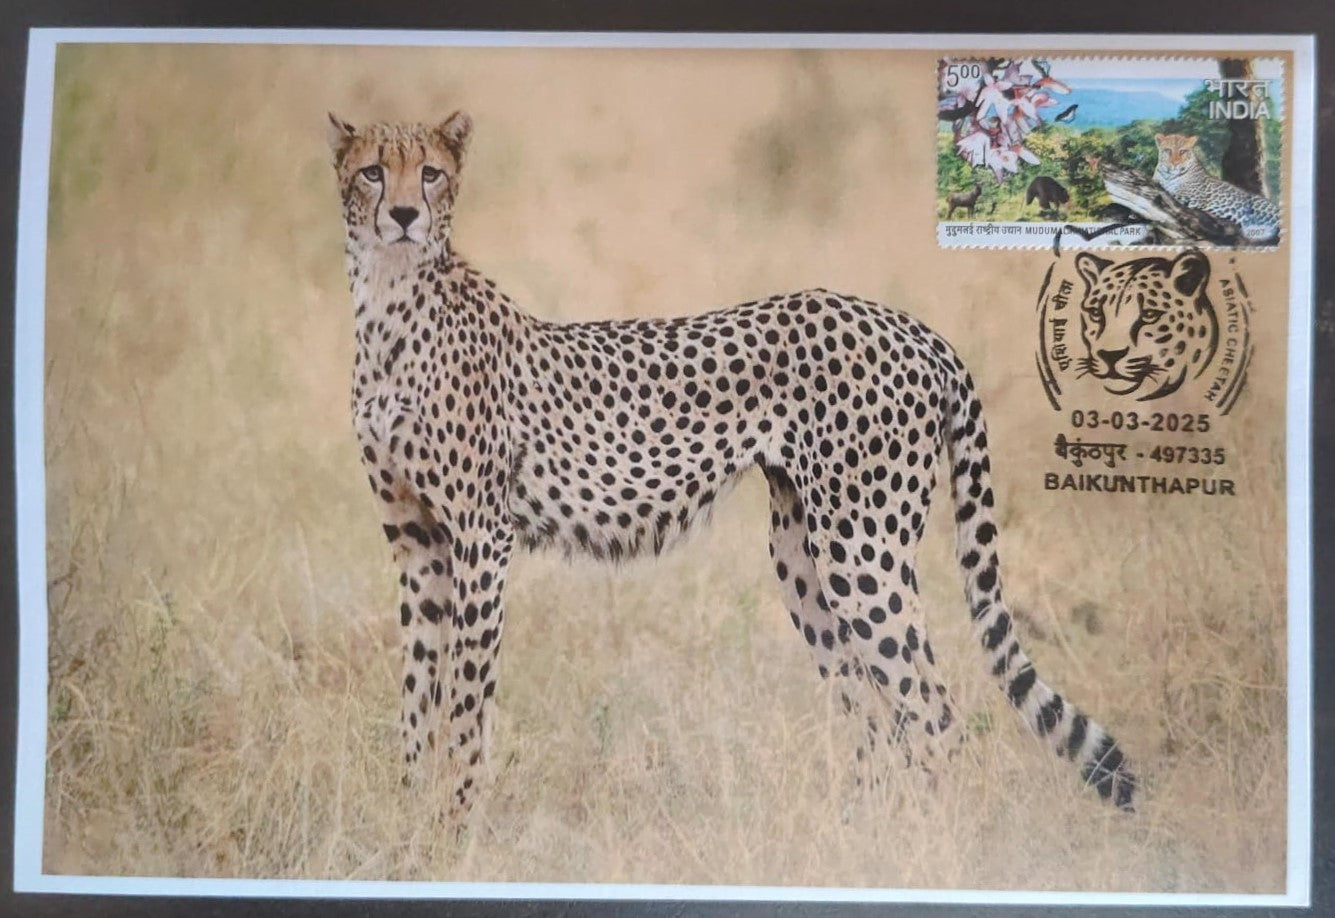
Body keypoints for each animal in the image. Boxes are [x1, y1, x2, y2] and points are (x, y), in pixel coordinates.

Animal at [326, 111, 1138, 823]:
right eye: (373, 171)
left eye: (430, 173)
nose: (403, 214)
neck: (392, 303)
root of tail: (912, 327)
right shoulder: (418, 545)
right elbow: (417, 690)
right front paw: (411, 812)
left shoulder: (480, 539)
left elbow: (465, 697)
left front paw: (456, 822)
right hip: (802, 556)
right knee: (875, 713)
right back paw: (860, 835)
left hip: (862, 552)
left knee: (931, 711)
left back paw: (934, 841)